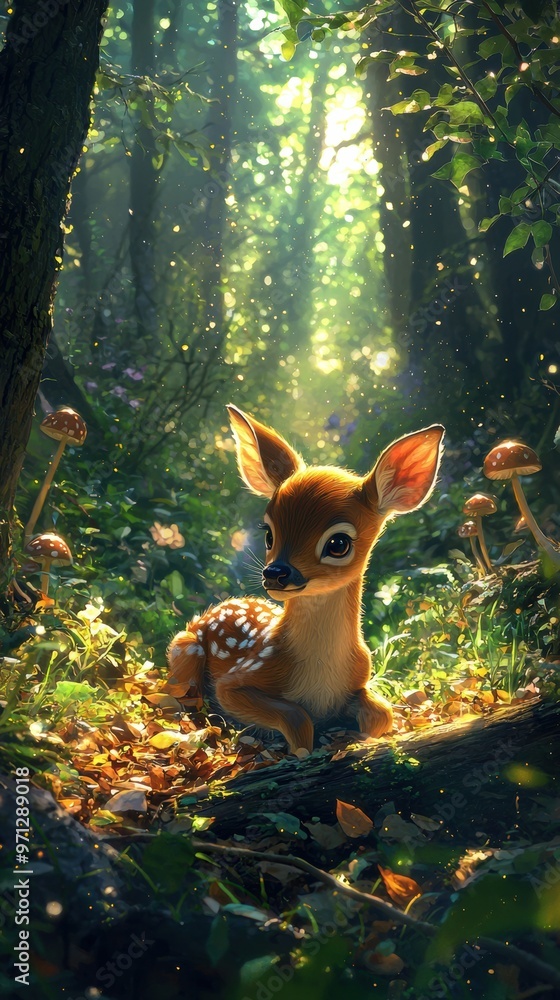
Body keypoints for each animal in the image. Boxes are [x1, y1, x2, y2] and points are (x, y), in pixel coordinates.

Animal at [167, 405, 444, 754]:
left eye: (338, 543)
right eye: (268, 533)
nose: (275, 574)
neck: (320, 680)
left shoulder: (360, 679)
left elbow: (382, 714)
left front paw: (357, 735)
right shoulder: (236, 680)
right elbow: (297, 717)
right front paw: (298, 747)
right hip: (184, 648)